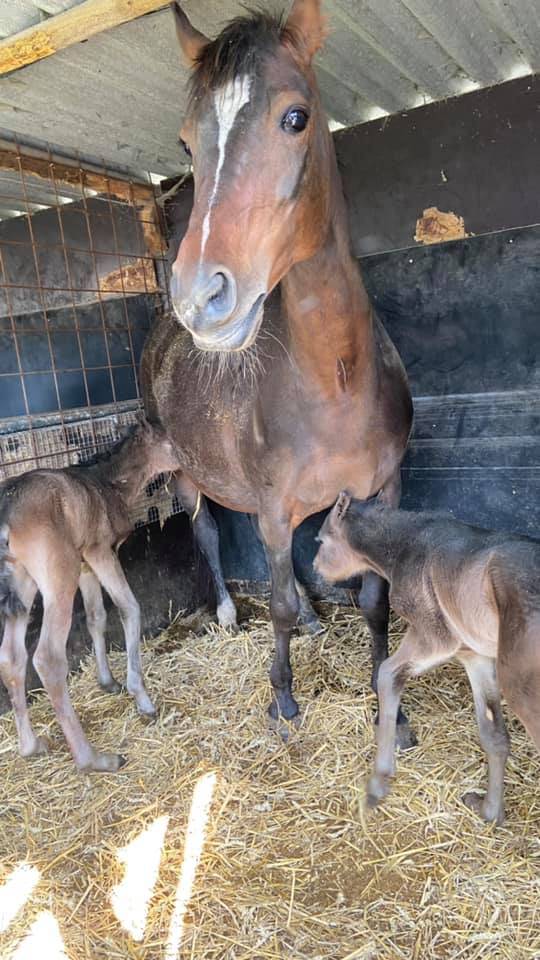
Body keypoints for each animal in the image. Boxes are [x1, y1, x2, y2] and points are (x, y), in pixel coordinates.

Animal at [0, 420, 178, 772]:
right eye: (169, 438)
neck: (110, 484)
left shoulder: (85, 566)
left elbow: (97, 616)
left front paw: (107, 682)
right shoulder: (100, 551)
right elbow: (128, 607)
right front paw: (142, 698)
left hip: (21, 581)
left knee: (11, 657)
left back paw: (32, 746)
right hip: (58, 573)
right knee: (47, 657)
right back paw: (93, 759)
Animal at [141, 0, 412, 740]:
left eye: (295, 117)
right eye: (186, 144)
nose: (201, 296)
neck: (336, 379)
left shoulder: (384, 492)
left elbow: (376, 599)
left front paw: (391, 709)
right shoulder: (269, 504)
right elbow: (281, 603)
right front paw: (283, 700)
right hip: (186, 471)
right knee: (208, 532)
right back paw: (230, 612)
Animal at [314, 496, 540, 824]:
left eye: (321, 540)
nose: (315, 567)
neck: (405, 545)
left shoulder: (433, 635)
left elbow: (387, 673)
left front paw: (377, 785)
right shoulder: (474, 655)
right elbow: (493, 734)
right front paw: (489, 812)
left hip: (521, 685)